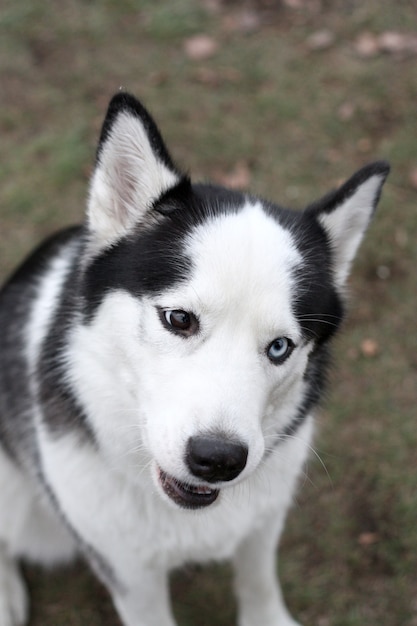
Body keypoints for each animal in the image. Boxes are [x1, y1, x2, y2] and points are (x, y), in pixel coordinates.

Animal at [0, 92, 388, 624]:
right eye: (179, 319)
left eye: (280, 347)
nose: (218, 459)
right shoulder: (129, 572)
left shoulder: (263, 522)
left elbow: (259, 582)